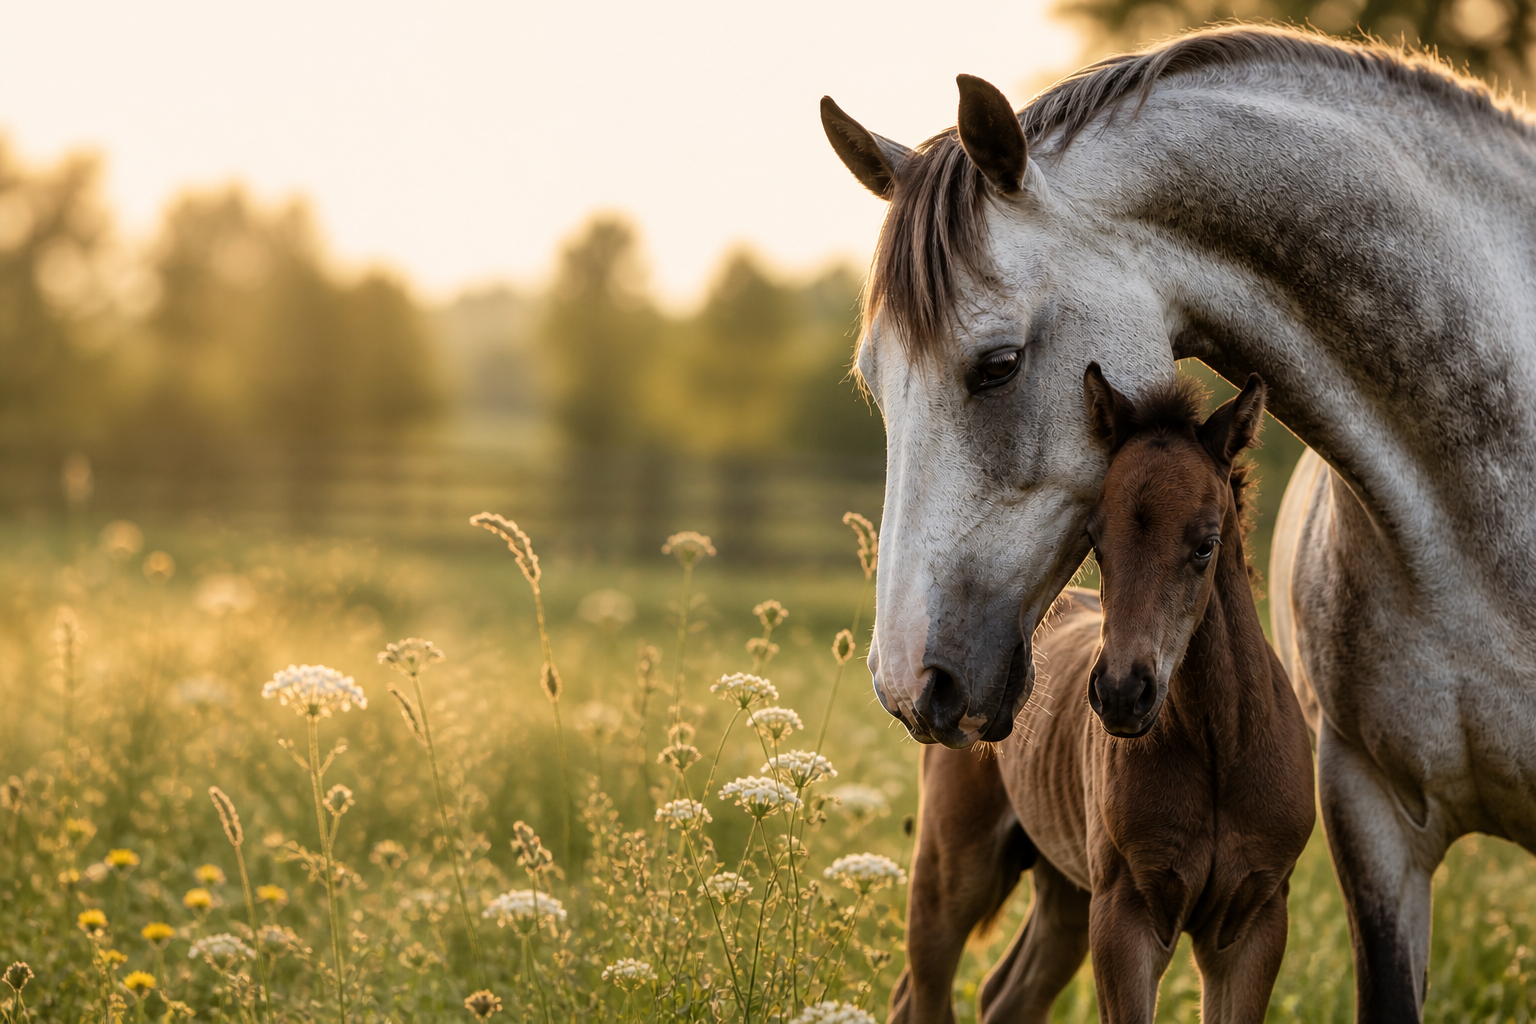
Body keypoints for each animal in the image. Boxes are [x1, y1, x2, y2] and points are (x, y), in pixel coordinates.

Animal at [891, 368, 1314, 1023]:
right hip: (953, 869)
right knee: (921, 995)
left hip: (1065, 892)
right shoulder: (1124, 916)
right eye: (1094, 538)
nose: (1121, 692)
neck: (1221, 748)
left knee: (1006, 994)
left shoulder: (1254, 921)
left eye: (1206, 544)